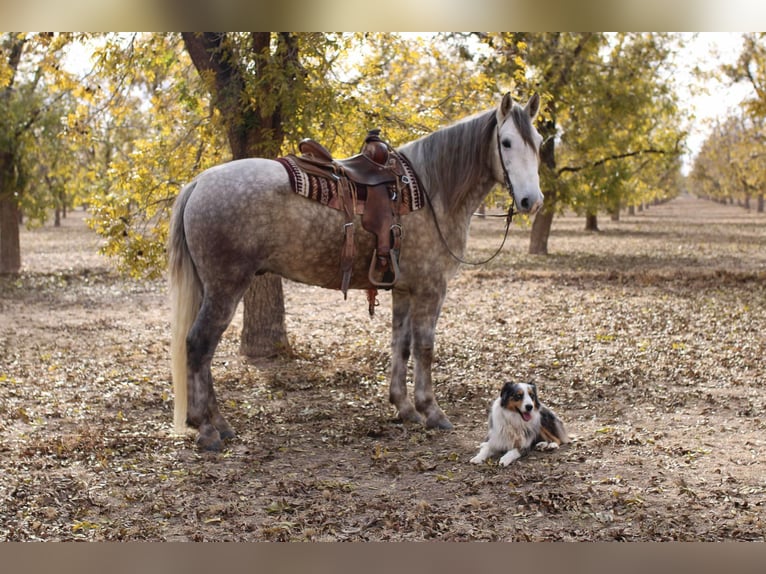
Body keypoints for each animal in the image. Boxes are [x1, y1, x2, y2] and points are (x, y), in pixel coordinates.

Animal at [169, 93, 544, 450]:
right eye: (506, 142)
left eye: (539, 141)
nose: (532, 201)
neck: (430, 190)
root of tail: (199, 182)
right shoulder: (430, 288)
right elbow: (424, 348)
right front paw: (431, 411)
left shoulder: (403, 290)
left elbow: (400, 345)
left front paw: (404, 407)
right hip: (226, 287)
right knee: (199, 345)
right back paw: (206, 428)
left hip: (211, 288)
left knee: (202, 349)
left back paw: (219, 423)